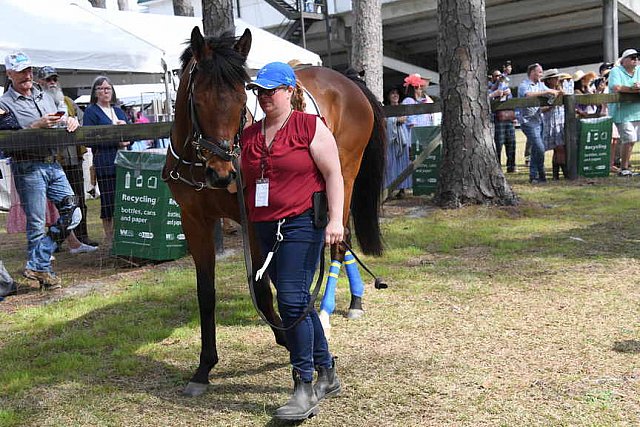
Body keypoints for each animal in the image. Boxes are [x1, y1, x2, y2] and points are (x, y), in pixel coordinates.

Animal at [165, 26, 384, 396]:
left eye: (242, 101)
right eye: (198, 100)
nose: (222, 172)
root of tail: (349, 81)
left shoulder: (254, 222)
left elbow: (263, 289)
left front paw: (289, 340)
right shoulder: (195, 221)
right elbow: (206, 293)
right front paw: (204, 367)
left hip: (345, 176)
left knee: (338, 241)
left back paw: (327, 311)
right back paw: (354, 301)